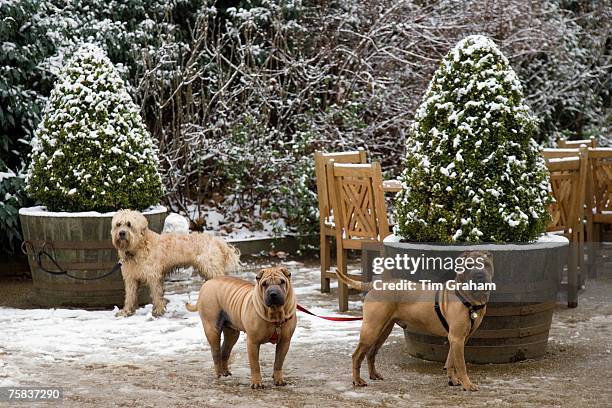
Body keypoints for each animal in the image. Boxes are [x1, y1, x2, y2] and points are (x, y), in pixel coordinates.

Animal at [111, 209, 240, 318]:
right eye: (118, 224)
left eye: (129, 224)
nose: (121, 233)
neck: (138, 247)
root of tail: (217, 241)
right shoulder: (131, 279)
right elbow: (130, 296)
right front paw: (126, 311)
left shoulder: (154, 277)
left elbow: (157, 294)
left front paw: (158, 311)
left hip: (212, 269)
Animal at [338, 250, 494, 390]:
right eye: (469, 265)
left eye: (486, 264)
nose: (479, 275)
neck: (469, 298)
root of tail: (374, 284)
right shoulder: (457, 338)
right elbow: (461, 365)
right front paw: (468, 385)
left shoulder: (459, 339)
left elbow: (450, 360)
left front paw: (453, 380)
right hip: (371, 329)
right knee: (357, 355)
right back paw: (357, 380)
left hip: (383, 330)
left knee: (371, 353)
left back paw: (373, 375)